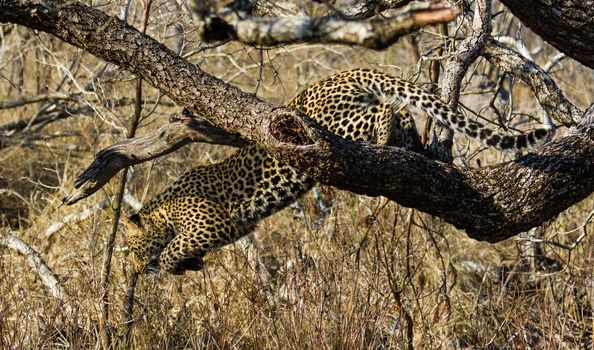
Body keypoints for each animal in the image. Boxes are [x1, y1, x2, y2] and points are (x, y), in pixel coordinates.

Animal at [122, 69, 552, 276]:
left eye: (130, 250)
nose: (138, 270)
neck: (164, 207)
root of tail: (343, 73)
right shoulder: (236, 228)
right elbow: (190, 250)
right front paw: (188, 266)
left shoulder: (210, 223)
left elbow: (175, 246)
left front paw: (169, 264)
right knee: (403, 118)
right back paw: (411, 146)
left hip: (338, 124)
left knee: (385, 111)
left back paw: (384, 140)